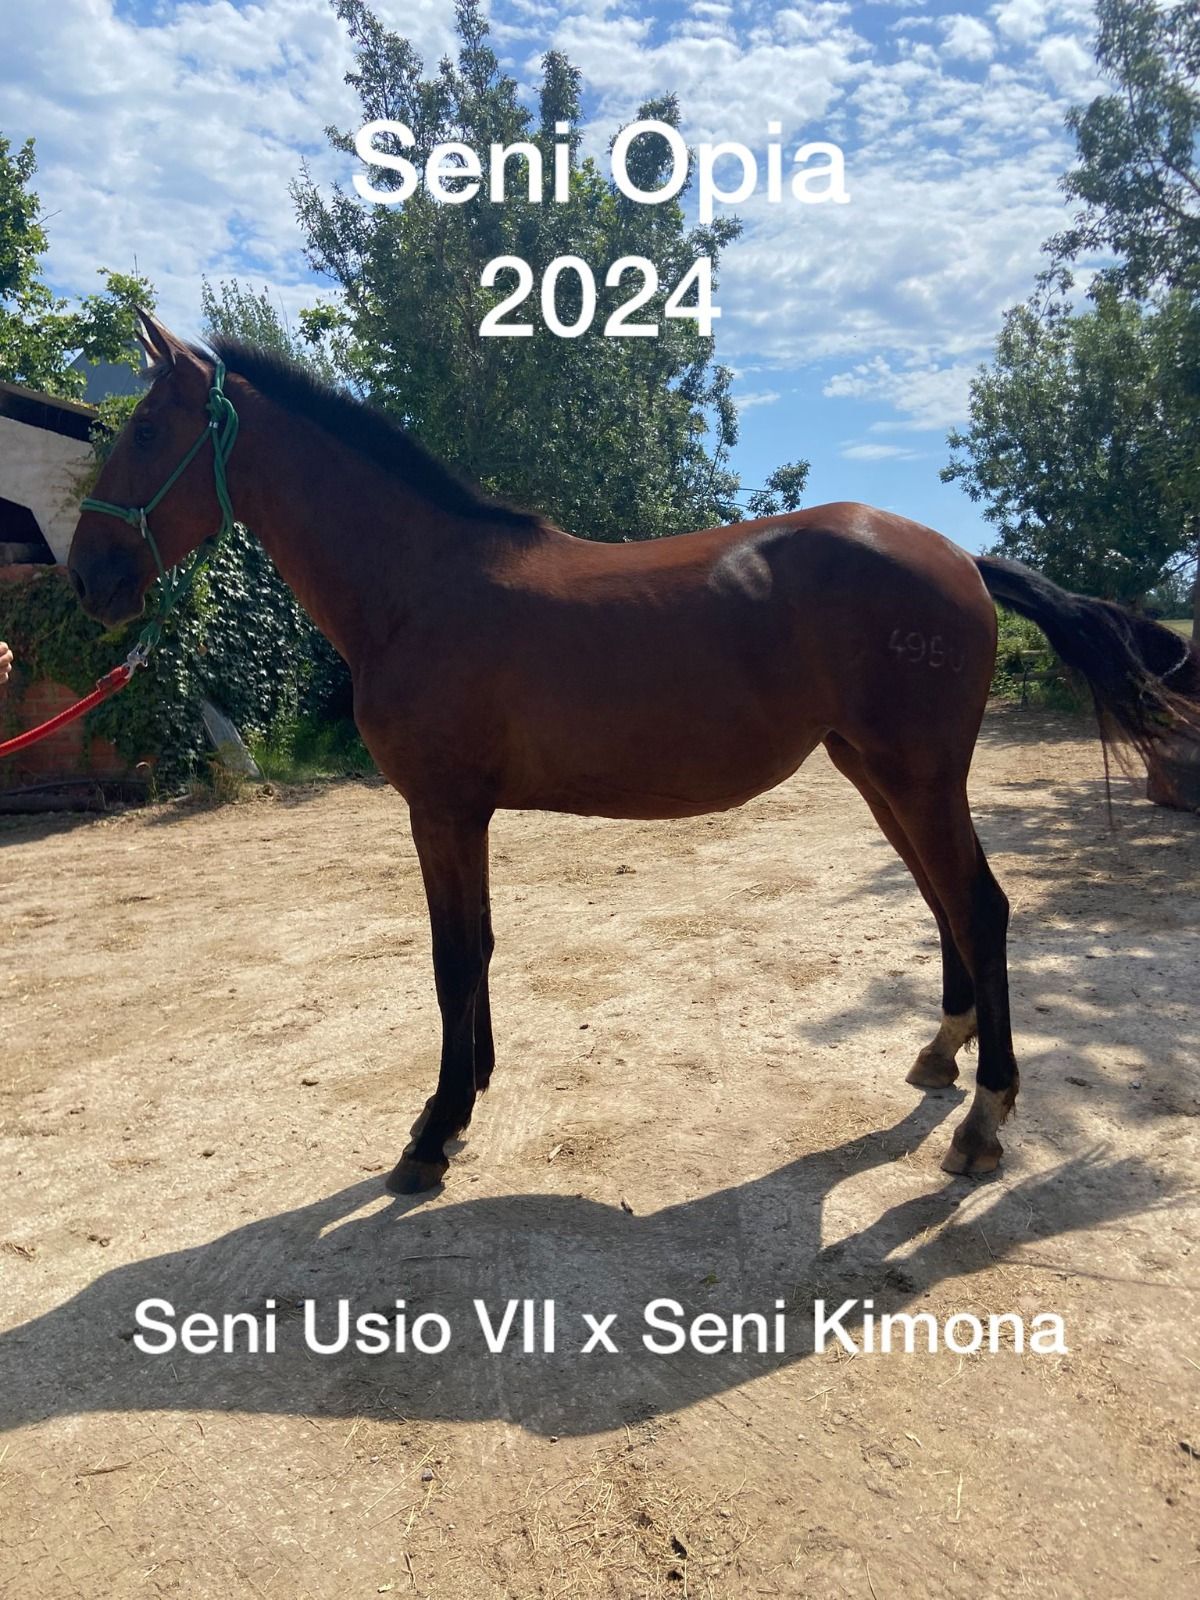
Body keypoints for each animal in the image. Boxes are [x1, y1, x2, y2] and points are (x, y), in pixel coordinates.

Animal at [68, 311, 1200, 1194]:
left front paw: (434, 1132)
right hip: (879, 772)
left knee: (981, 906)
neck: (421, 585)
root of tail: (957, 554)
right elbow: (476, 947)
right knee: (945, 902)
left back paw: (984, 1121)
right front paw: (469, 1092)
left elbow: (452, 956)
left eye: (146, 427)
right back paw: (942, 1055)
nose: (88, 575)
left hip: (916, 775)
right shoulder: (461, 814)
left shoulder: (441, 808)